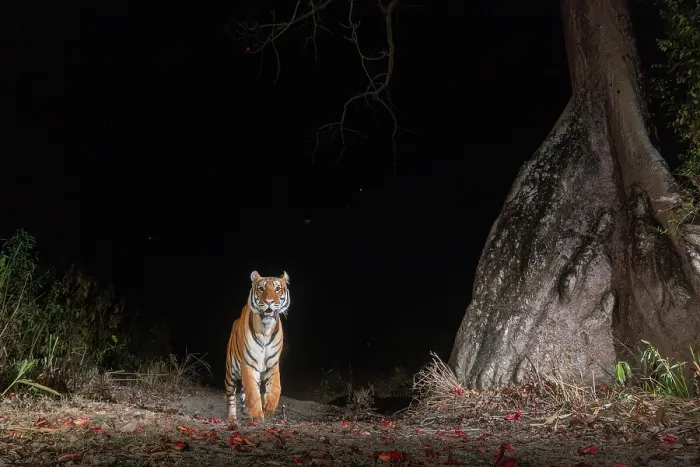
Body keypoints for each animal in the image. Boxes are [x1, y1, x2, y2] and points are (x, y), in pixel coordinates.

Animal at [225, 271, 290, 423]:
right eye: (261, 288)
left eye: (277, 289)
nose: (269, 302)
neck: (266, 329)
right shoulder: (249, 364)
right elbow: (253, 392)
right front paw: (257, 415)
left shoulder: (272, 364)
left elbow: (276, 388)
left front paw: (267, 406)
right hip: (230, 372)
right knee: (230, 395)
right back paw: (231, 418)